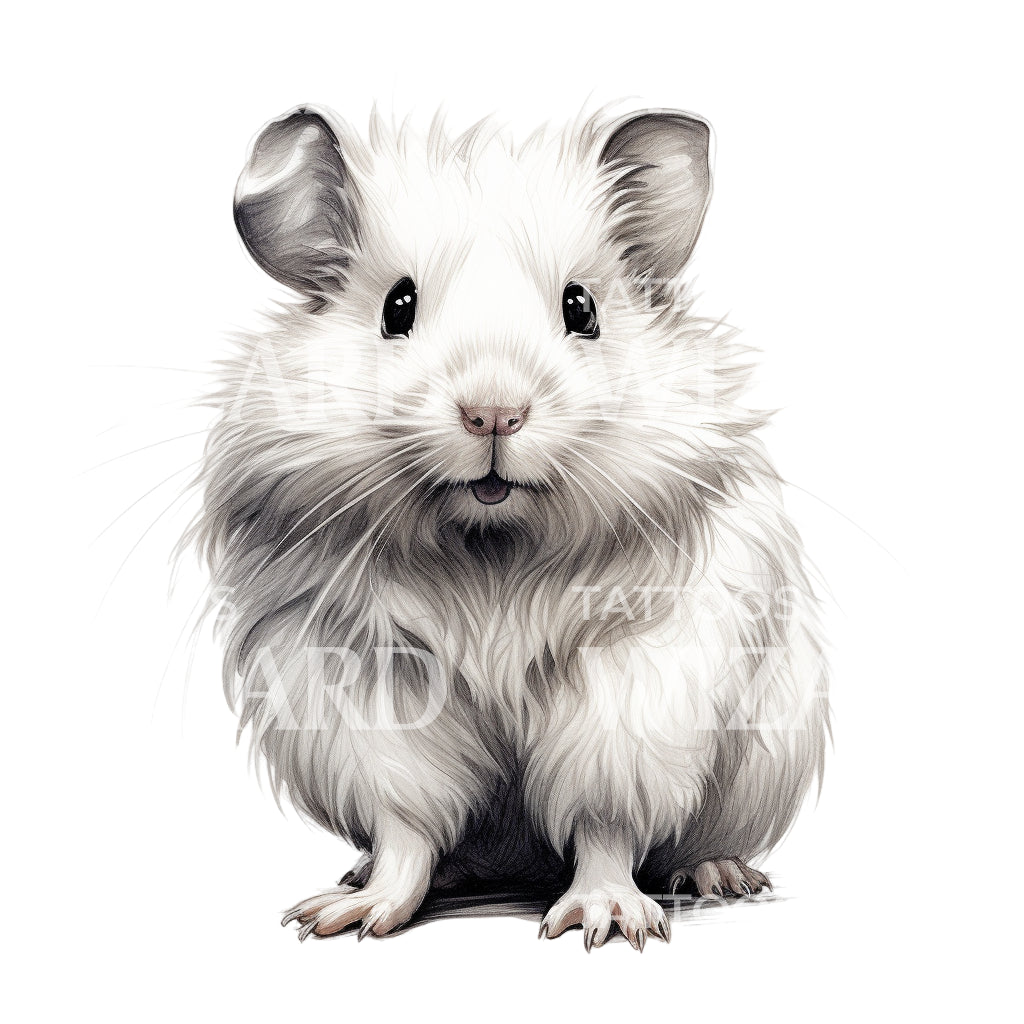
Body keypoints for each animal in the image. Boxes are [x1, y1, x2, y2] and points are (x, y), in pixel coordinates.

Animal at [189, 104, 829, 949]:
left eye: (581, 309)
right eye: (396, 308)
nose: (494, 413)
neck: (490, 546)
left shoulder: (632, 685)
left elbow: (603, 821)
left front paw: (603, 925)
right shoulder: (364, 684)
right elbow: (405, 821)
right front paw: (340, 920)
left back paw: (722, 876)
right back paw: (355, 882)